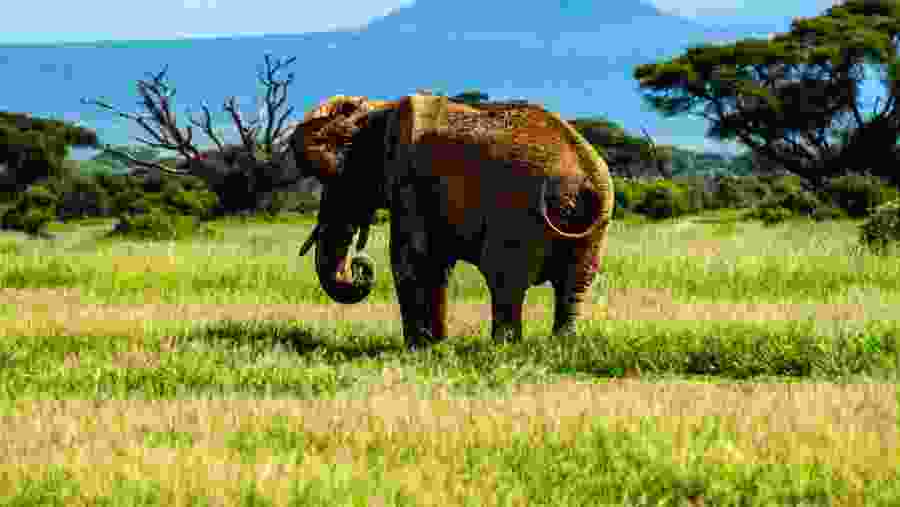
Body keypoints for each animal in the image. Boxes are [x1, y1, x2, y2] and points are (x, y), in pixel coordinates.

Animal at [290, 93, 614, 348]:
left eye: (341, 181)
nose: (360, 266)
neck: (379, 108)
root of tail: (585, 174)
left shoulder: (408, 177)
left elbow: (411, 258)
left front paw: (418, 348)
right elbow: (436, 263)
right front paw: (435, 345)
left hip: (520, 216)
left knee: (505, 279)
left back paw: (503, 347)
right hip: (594, 225)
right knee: (574, 285)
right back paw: (561, 344)